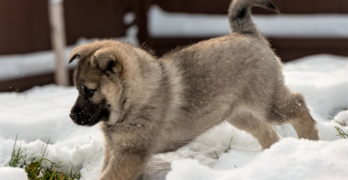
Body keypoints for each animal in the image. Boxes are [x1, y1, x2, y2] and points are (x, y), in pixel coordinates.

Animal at [67, 0, 318, 180]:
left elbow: (108, 176)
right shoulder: (116, 149)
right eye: (77, 90)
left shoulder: (131, 153)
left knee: (299, 105)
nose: (72, 116)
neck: (132, 99)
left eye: (88, 91)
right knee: (268, 132)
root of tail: (247, 33)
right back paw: (271, 158)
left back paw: (311, 141)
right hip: (239, 114)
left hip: (268, 103)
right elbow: (105, 170)